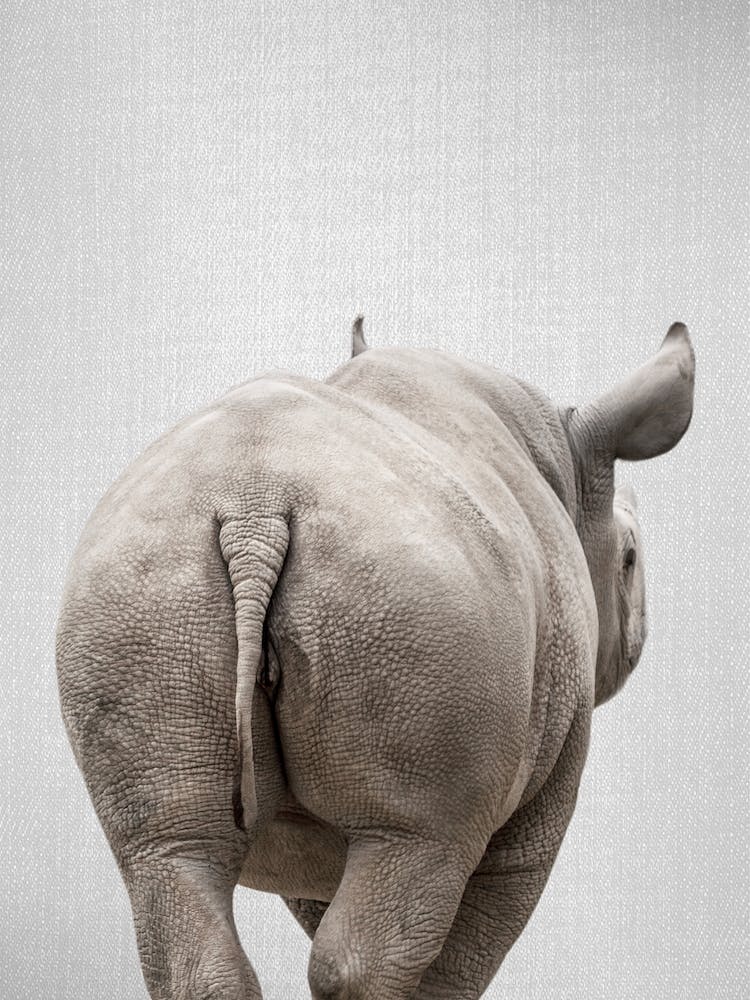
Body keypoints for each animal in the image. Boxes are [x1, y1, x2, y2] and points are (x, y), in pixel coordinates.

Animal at [56, 318, 695, 999]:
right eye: (630, 559)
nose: (642, 633)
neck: (569, 467)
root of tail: (253, 508)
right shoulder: (537, 789)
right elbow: (469, 944)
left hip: (141, 591)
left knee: (169, 855)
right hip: (411, 599)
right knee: (409, 854)